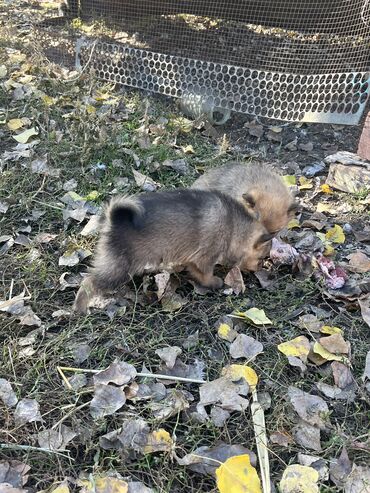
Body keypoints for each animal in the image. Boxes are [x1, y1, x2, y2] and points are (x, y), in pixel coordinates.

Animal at [74, 188, 272, 312]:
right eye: (262, 258)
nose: (260, 269)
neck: (234, 225)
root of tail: (114, 220)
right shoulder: (206, 256)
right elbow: (206, 273)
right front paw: (214, 282)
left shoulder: (193, 259)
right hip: (118, 267)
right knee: (89, 282)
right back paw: (80, 308)